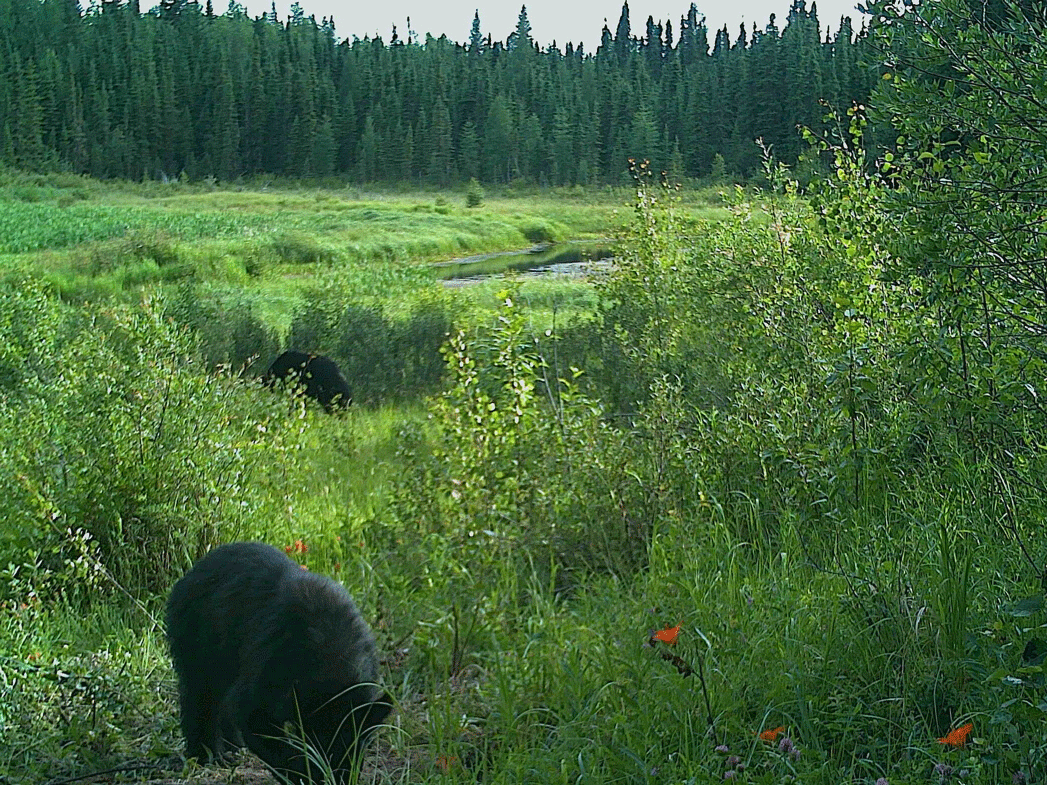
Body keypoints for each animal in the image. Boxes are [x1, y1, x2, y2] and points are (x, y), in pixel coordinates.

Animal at [163, 544, 393, 782]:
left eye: (356, 753)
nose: (335, 778)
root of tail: (193, 571)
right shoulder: (265, 682)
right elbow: (272, 740)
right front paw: (301, 774)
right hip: (200, 648)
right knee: (200, 699)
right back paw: (207, 754)